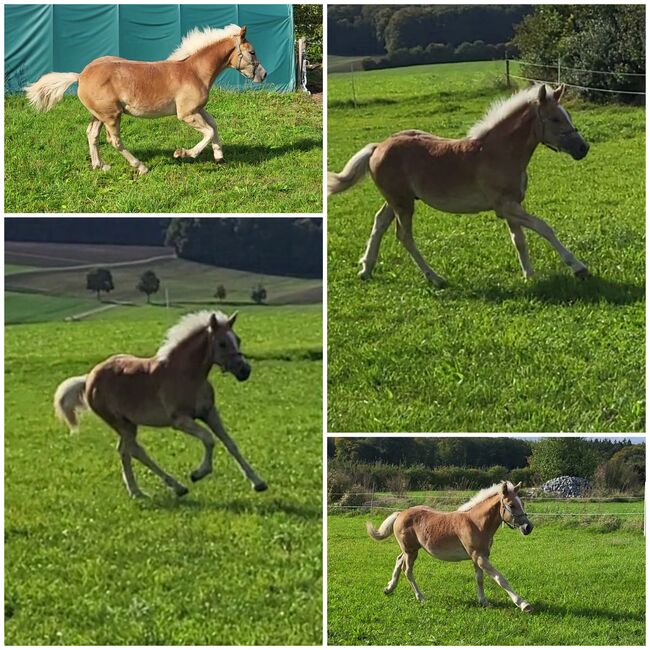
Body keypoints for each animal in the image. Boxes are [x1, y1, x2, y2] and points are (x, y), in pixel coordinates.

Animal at [25, 24, 264, 173]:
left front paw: (219, 157)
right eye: (252, 52)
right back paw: (141, 167)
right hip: (112, 115)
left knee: (92, 134)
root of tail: (81, 75)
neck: (193, 71)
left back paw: (100, 166)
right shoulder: (186, 114)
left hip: (99, 115)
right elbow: (208, 131)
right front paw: (183, 153)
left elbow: (214, 125)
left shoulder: (198, 109)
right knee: (114, 141)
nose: (263, 75)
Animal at [53, 308, 266, 496]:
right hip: (119, 422)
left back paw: (138, 492)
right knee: (134, 450)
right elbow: (209, 438)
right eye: (222, 343)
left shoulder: (209, 412)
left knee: (124, 450)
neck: (187, 375)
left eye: (238, 340)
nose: (245, 371)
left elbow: (230, 443)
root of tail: (89, 378)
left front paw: (258, 483)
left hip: (129, 423)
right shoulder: (180, 420)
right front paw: (198, 473)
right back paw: (174, 488)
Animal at [330, 84, 588, 284]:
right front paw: (578, 267)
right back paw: (435, 278)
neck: (498, 152)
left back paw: (366, 269)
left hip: (397, 200)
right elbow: (544, 228)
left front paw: (529, 275)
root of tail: (378, 147)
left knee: (380, 222)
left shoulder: (511, 204)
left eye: (568, 116)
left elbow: (519, 240)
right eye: (555, 119)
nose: (583, 148)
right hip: (402, 203)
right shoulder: (504, 206)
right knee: (404, 236)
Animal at [364, 478, 532, 612]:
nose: (528, 527)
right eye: (511, 505)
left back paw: (389, 588)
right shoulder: (478, 556)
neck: (476, 523)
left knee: (399, 560)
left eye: (522, 503)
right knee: (407, 570)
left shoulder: (479, 556)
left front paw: (483, 601)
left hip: (409, 549)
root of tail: (400, 514)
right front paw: (523, 604)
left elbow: (479, 578)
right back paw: (421, 597)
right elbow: (500, 578)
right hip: (411, 551)